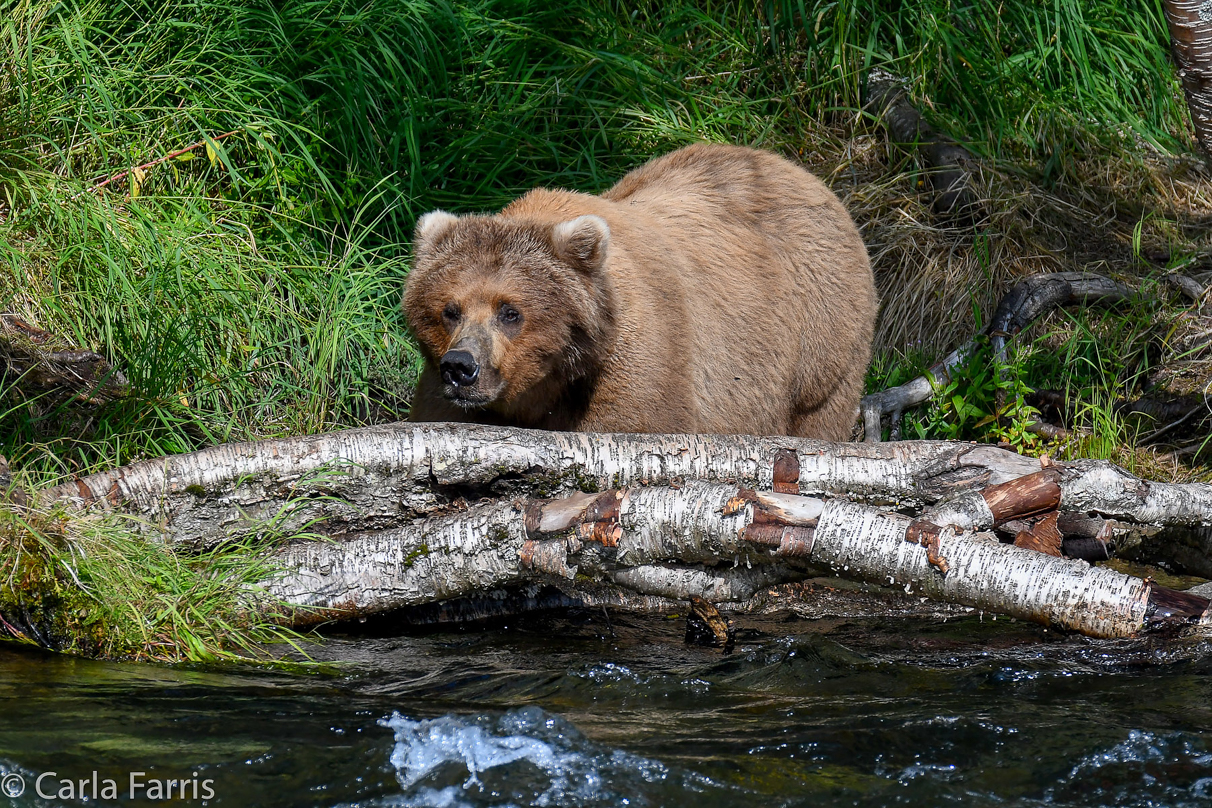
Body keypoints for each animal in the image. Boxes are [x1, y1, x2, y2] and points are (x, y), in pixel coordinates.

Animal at [402, 142, 877, 438]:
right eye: (449, 309)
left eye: (510, 311)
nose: (461, 366)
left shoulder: (640, 352)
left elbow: (636, 422)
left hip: (821, 338)